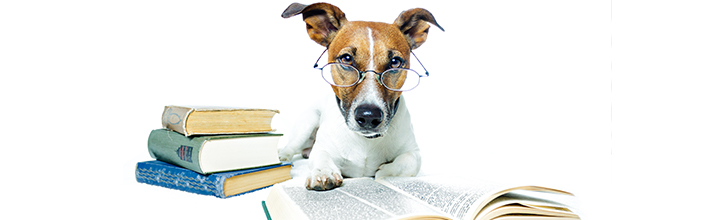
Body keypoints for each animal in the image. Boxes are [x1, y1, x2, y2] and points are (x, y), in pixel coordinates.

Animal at [278, 2, 442, 191]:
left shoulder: (414, 152)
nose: (369, 116)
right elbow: (321, 156)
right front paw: (323, 172)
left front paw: (382, 173)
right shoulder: (322, 148)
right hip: (308, 121)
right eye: (346, 58)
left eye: (395, 62)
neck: (366, 140)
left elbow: (406, 162)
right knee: (292, 146)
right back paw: (283, 156)